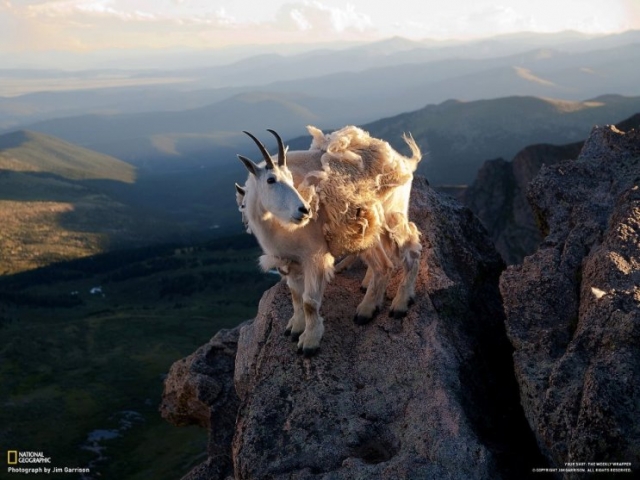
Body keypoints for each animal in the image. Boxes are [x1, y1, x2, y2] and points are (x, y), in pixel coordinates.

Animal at [235, 125, 420, 354]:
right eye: (271, 180)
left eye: (290, 179)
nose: (304, 210)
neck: (277, 228)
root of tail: (403, 162)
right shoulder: (289, 261)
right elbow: (295, 295)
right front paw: (295, 328)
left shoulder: (314, 256)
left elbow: (309, 302)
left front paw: (309, 342)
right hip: (369, 227)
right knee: (384, 265)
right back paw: (369, 306)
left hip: (392, 214)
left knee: (408, 251)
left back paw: (397, 304)